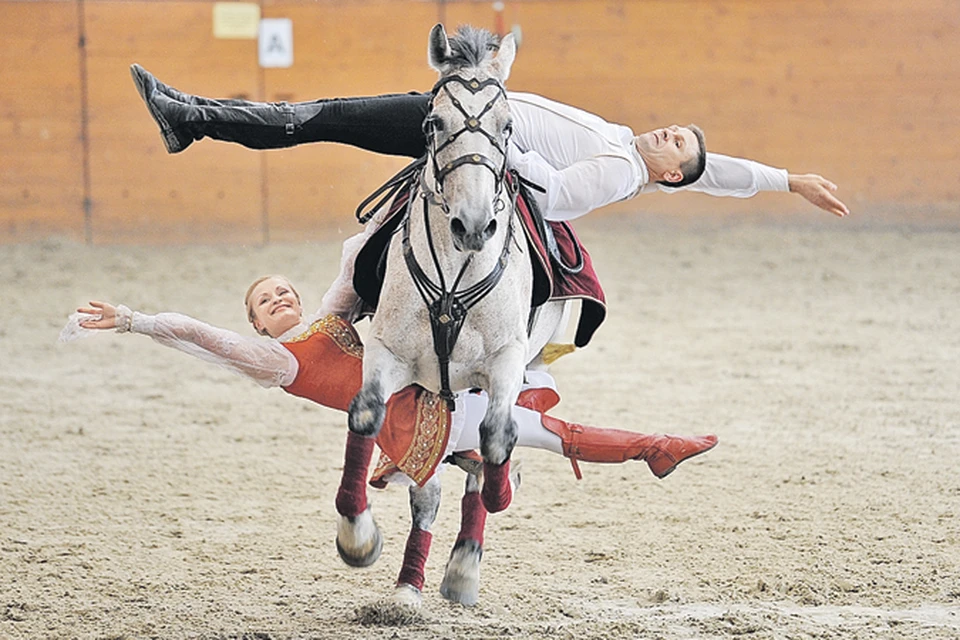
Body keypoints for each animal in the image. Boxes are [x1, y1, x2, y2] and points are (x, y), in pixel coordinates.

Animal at [338, 23, 568, 608]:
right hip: (430, 384)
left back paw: (463, 564)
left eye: (507, 126)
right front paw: (357, 537)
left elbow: (496, 435)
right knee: (428, 486)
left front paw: (499, 490)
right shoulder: (391, 355)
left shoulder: (508, 358)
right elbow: (366, 416)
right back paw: (409, 584)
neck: (456, 276)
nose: (474, 224)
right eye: (433, 122)